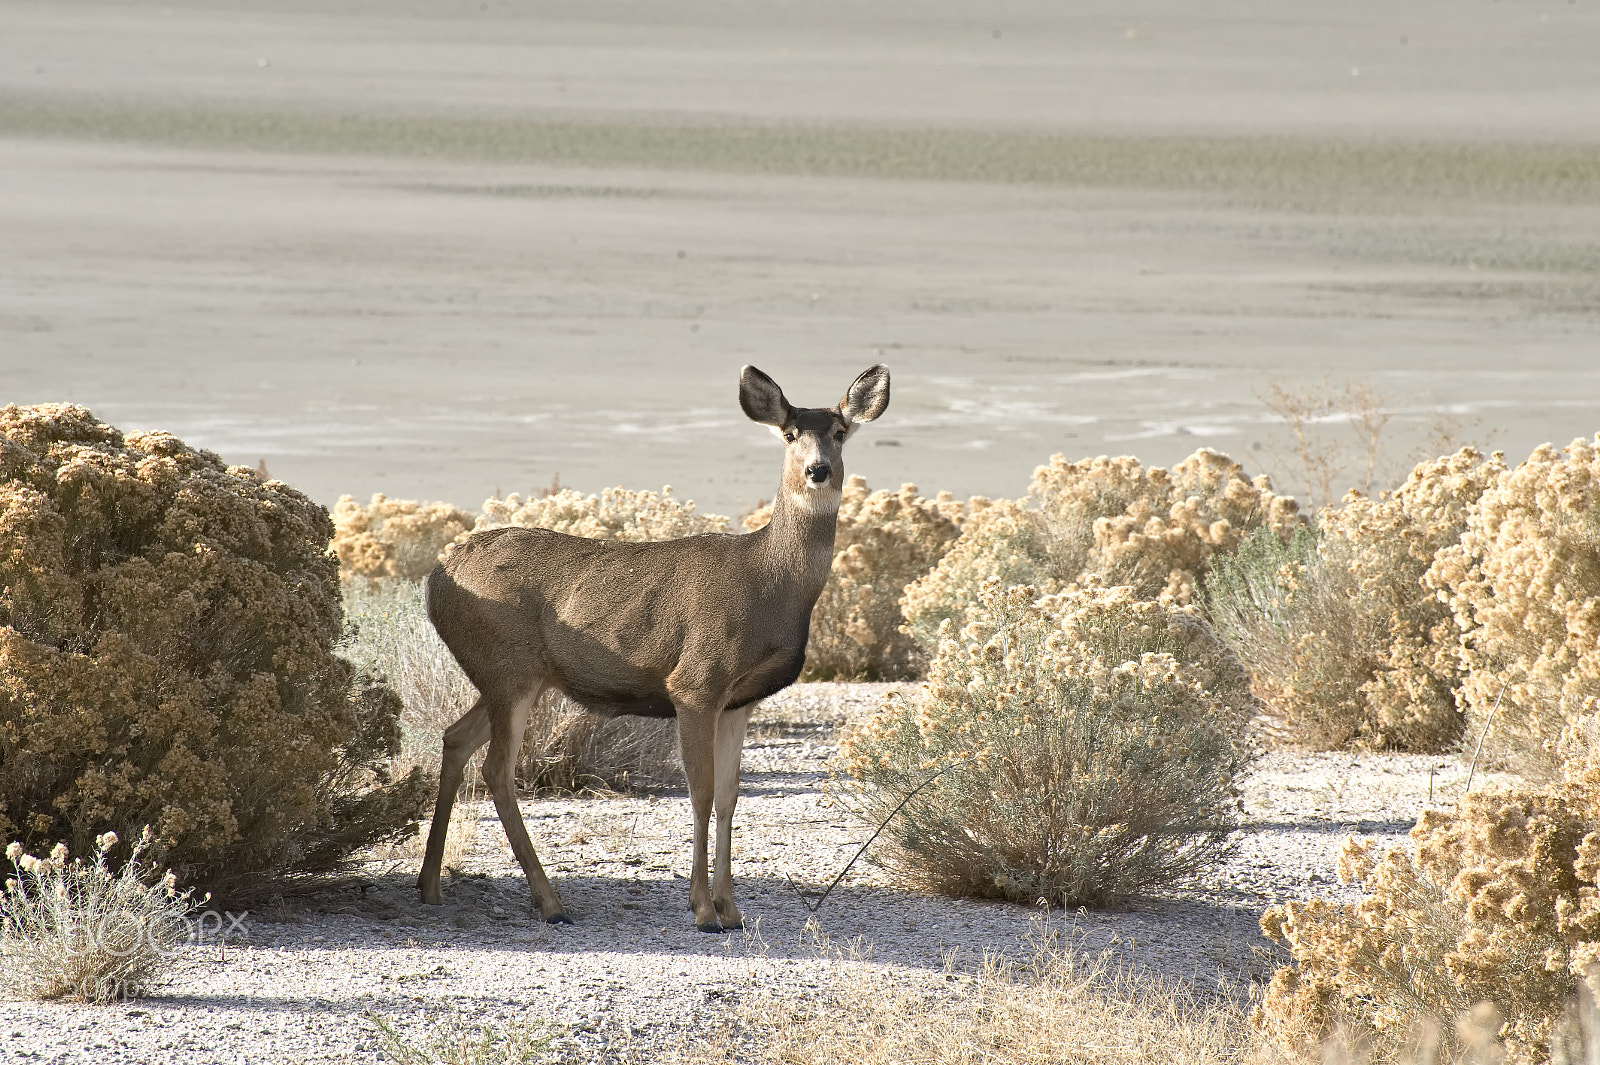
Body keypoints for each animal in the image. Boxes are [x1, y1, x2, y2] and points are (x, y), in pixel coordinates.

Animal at [417, 363, 891, 932]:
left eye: (840, 432)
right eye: (789, 433)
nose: (817, 470)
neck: (770, 584)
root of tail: (435, 578)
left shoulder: (740, 701)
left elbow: (731, 796)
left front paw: (732, 908)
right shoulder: (696, 682)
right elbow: (701, 792)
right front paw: (703, 910)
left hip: (509, 676)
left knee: (456, 738)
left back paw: (430, 887)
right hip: (509, 670)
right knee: (496, 769)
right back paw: (550, 902)